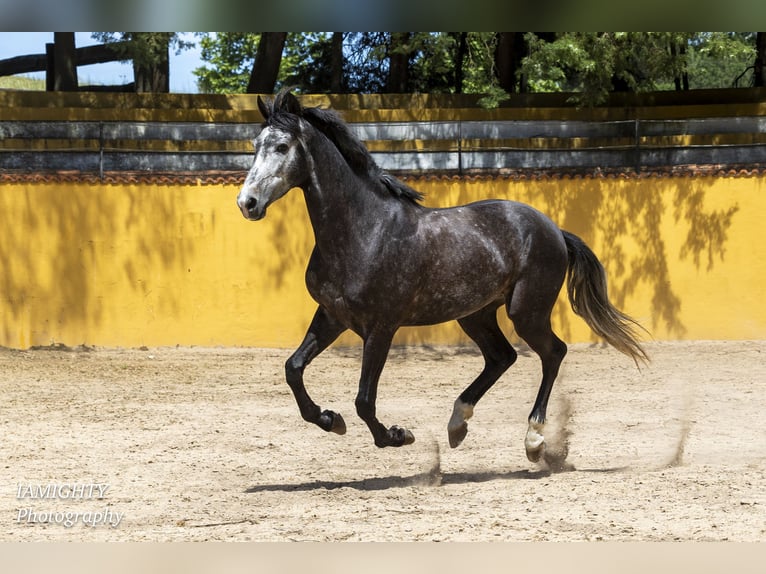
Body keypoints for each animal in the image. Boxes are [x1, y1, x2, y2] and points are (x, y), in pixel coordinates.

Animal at [236, 89, 648, 464]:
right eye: (255, 145)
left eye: (282, 146)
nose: (247, 203)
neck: (364, 231)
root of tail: (555, 230)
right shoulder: (333, 317)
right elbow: (293, 369)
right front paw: (329, 419)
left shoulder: (381, 327)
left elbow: (364, 400)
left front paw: (397, 435)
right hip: (476, 314)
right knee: (502, 357)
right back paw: (457, 425)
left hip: (526, 312)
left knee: (553, 352)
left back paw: (533, 440)